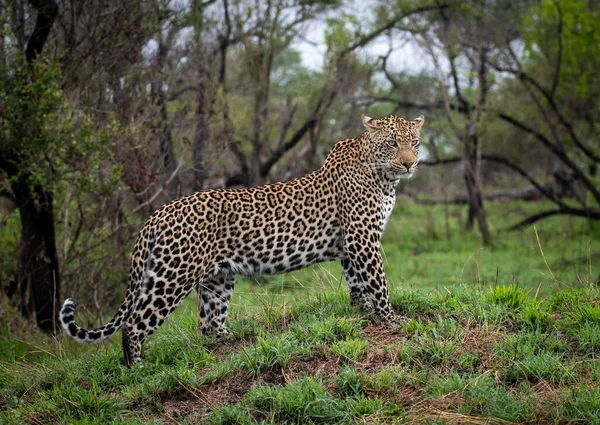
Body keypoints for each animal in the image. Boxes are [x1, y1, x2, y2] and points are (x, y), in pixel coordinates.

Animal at [58, 112, 424, 364]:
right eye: (393, 143)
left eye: (415, 143)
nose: (409, 164)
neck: (384, 177)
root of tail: (158, 214)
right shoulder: (363, 239)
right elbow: (378, 281)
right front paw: (391, 320)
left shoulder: (352, 246)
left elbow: (358, 284)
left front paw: (363, 313)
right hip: (173, 277)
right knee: (134, 323)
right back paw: (137, 368)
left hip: (216, 277)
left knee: (208, 323)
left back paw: (234, 338)